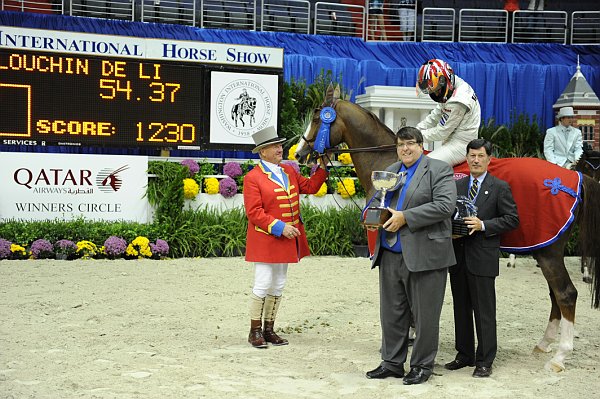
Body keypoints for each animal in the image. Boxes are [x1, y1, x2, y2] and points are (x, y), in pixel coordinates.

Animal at [296, 98, 600, 374]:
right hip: (544, 249)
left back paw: (560, 356)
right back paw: (544, 344)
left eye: (318, 118)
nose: (299, 154)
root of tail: (570, 179)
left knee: (566, 294)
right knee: (554, 295)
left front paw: (410, 335)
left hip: (548, 251)